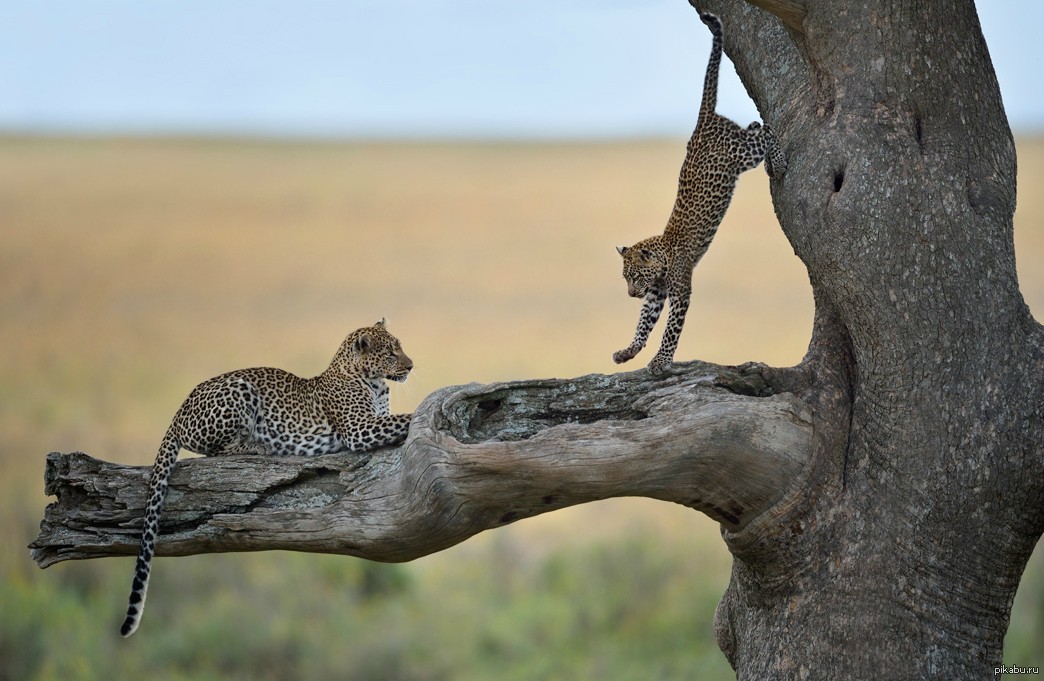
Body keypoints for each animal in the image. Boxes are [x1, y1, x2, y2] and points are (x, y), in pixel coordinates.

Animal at [120, 319, 413, 639]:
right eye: (390, 353)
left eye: (399, 348)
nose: (411, 366)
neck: (374, 382)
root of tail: (179, 411)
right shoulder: (360, 428)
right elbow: (405, 418)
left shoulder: (372, 421)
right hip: (238, 390)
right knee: (218, 451)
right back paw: (260, 445)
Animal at [609, 5, 785, 376]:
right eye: (625, 278)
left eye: (635, 276)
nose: (630, 294)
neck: (662, 259)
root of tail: (701, 120)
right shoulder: (656, 295)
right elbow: (643, 324)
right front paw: (628, 352)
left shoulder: (680, 292)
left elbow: (670, 331)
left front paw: (660, 362)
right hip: (739, 145)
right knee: (755, 126)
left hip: (741, 155)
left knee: (766, 131)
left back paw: (777, 162)